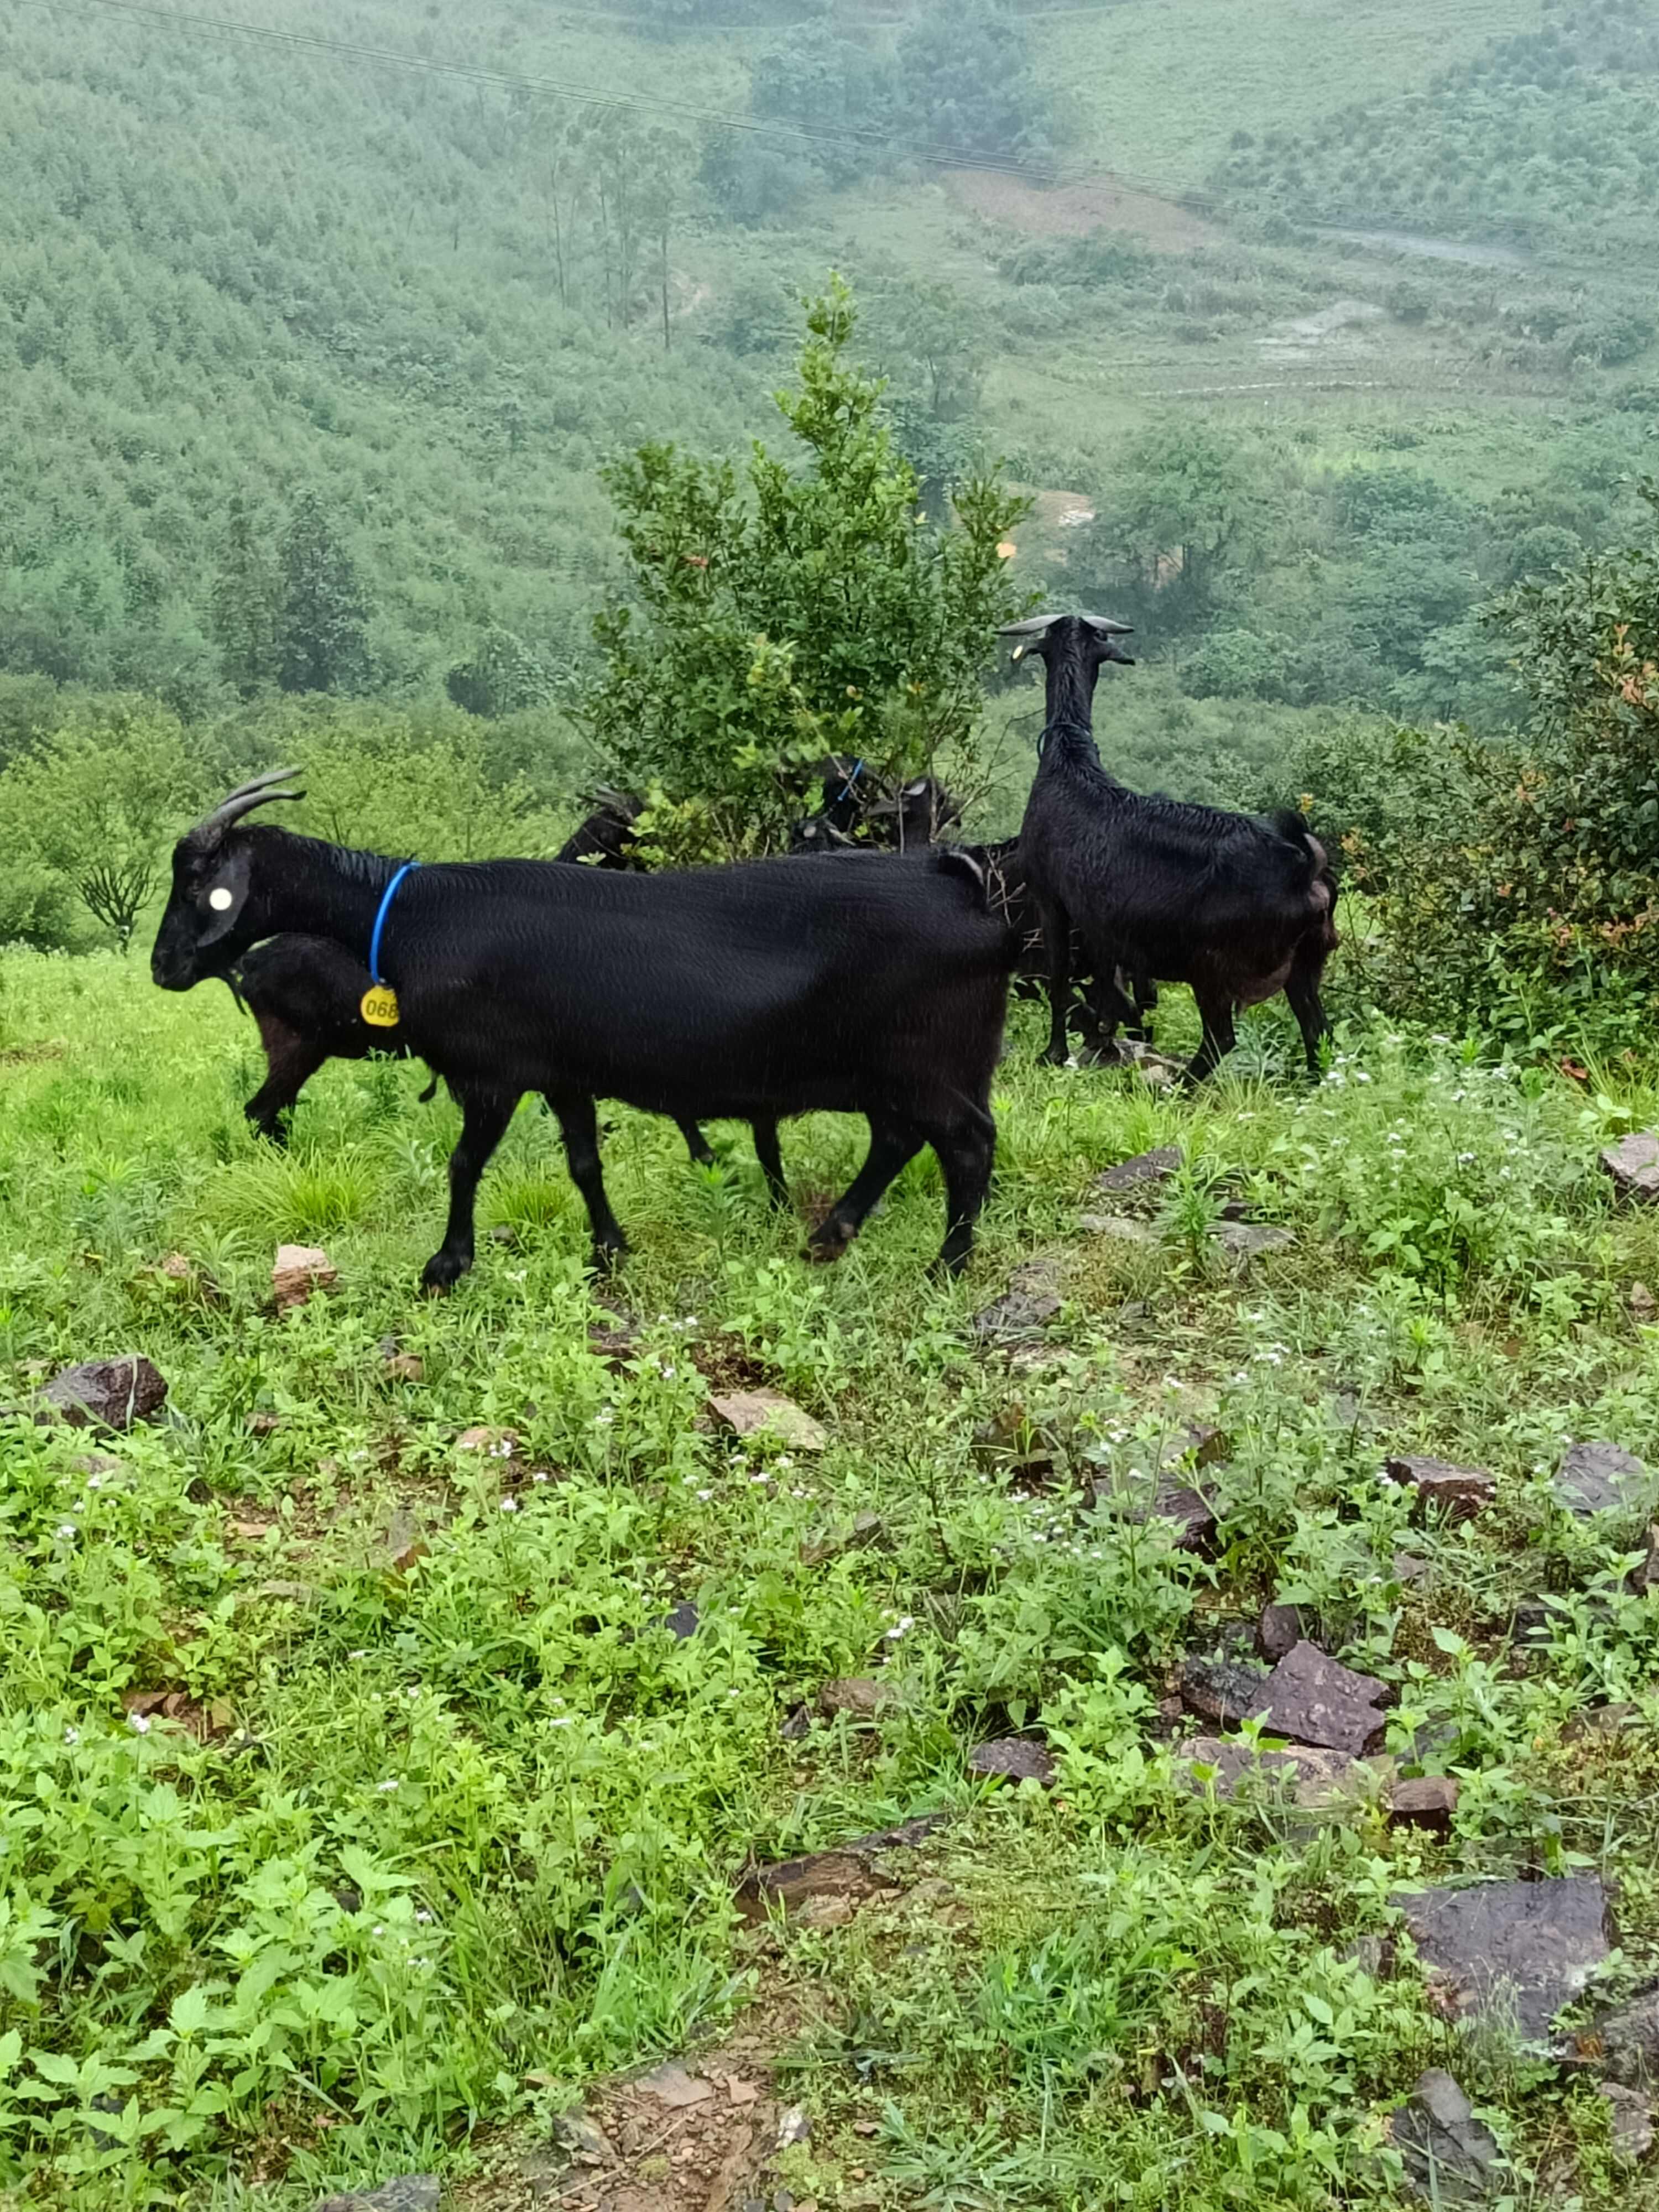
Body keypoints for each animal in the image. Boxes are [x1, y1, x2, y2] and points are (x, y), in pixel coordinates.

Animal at [156, 774, 1013, 1283]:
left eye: (198, 882)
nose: (164, 967)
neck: (409, 914)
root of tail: (961, 889)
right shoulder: (560, 1073)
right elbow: (583, 1163)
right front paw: (609, 1251)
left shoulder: (492, 1073)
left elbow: (464, 1164)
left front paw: (446, 1264)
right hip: (899, 1069)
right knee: (901, 1139)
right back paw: (832, 1234)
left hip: (928, 1061)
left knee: (967, 1143)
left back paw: (947, 1265)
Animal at [1009, 615, 1345, 1079]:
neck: (1068, 761)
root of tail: (1306, 866)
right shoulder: (1102, 922)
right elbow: (1107, 987)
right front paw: (1102, 1043)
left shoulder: (1052, 900)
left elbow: (1060, 980)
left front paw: (1055, 1053)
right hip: (1305, 964)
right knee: (1318, 1031)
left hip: (1212, 965)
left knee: (1221, 1038)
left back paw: (1178, 1084)